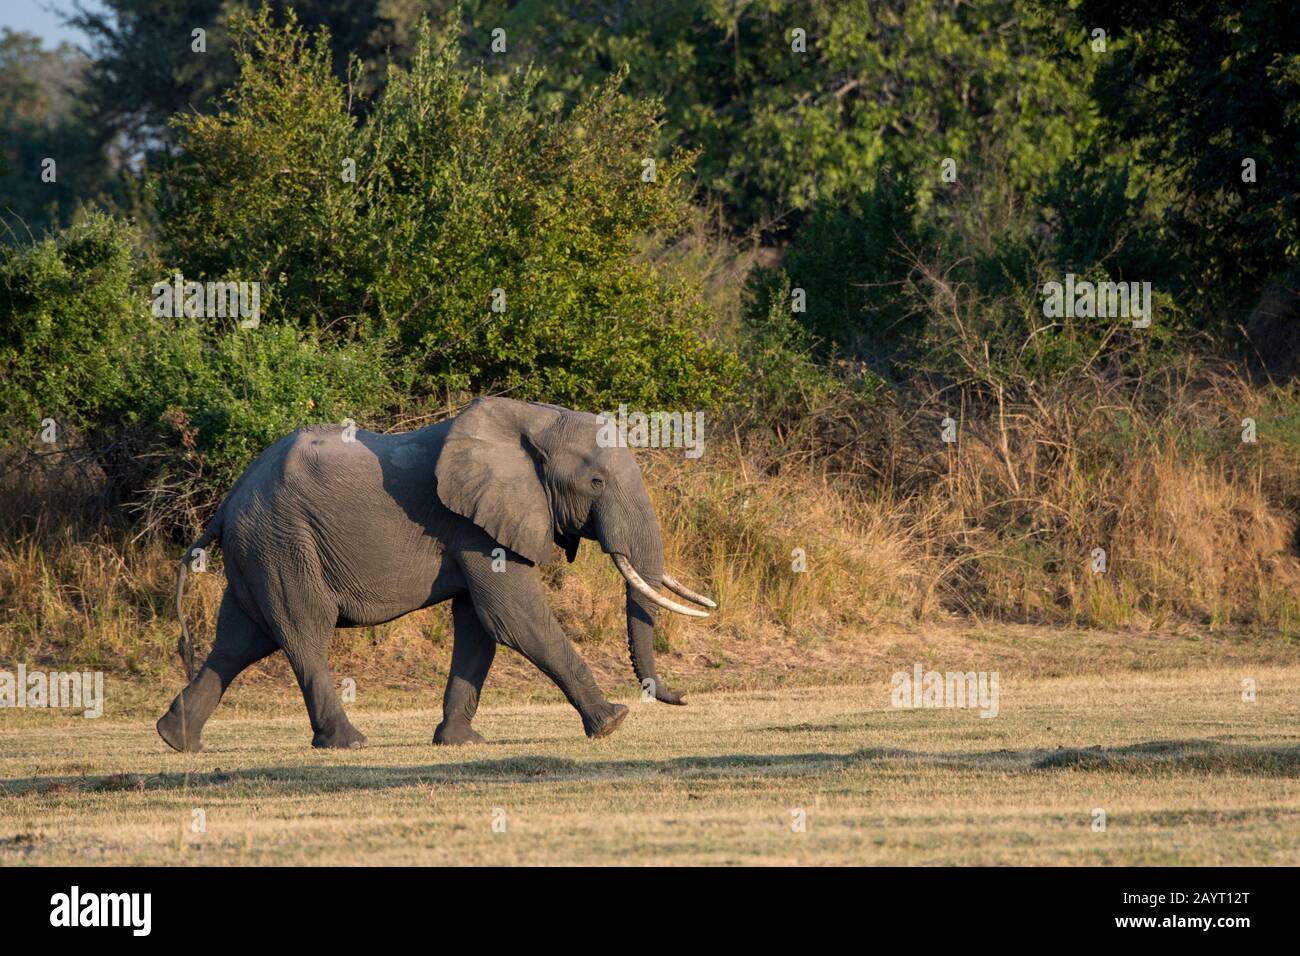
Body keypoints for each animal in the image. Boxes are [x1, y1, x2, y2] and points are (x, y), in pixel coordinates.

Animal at [155, 397, 715, 751]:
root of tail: (229, 502)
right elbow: (513, 617)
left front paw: (460, 742)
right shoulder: (473, 526)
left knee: (239, 642)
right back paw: (349, 744)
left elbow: (479, 626)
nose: (683, 697)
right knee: (303, 634)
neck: (534, 419)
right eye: (596, 482)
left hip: (260, 551)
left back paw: (177, 741)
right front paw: (612, 723)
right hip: (283, 544)